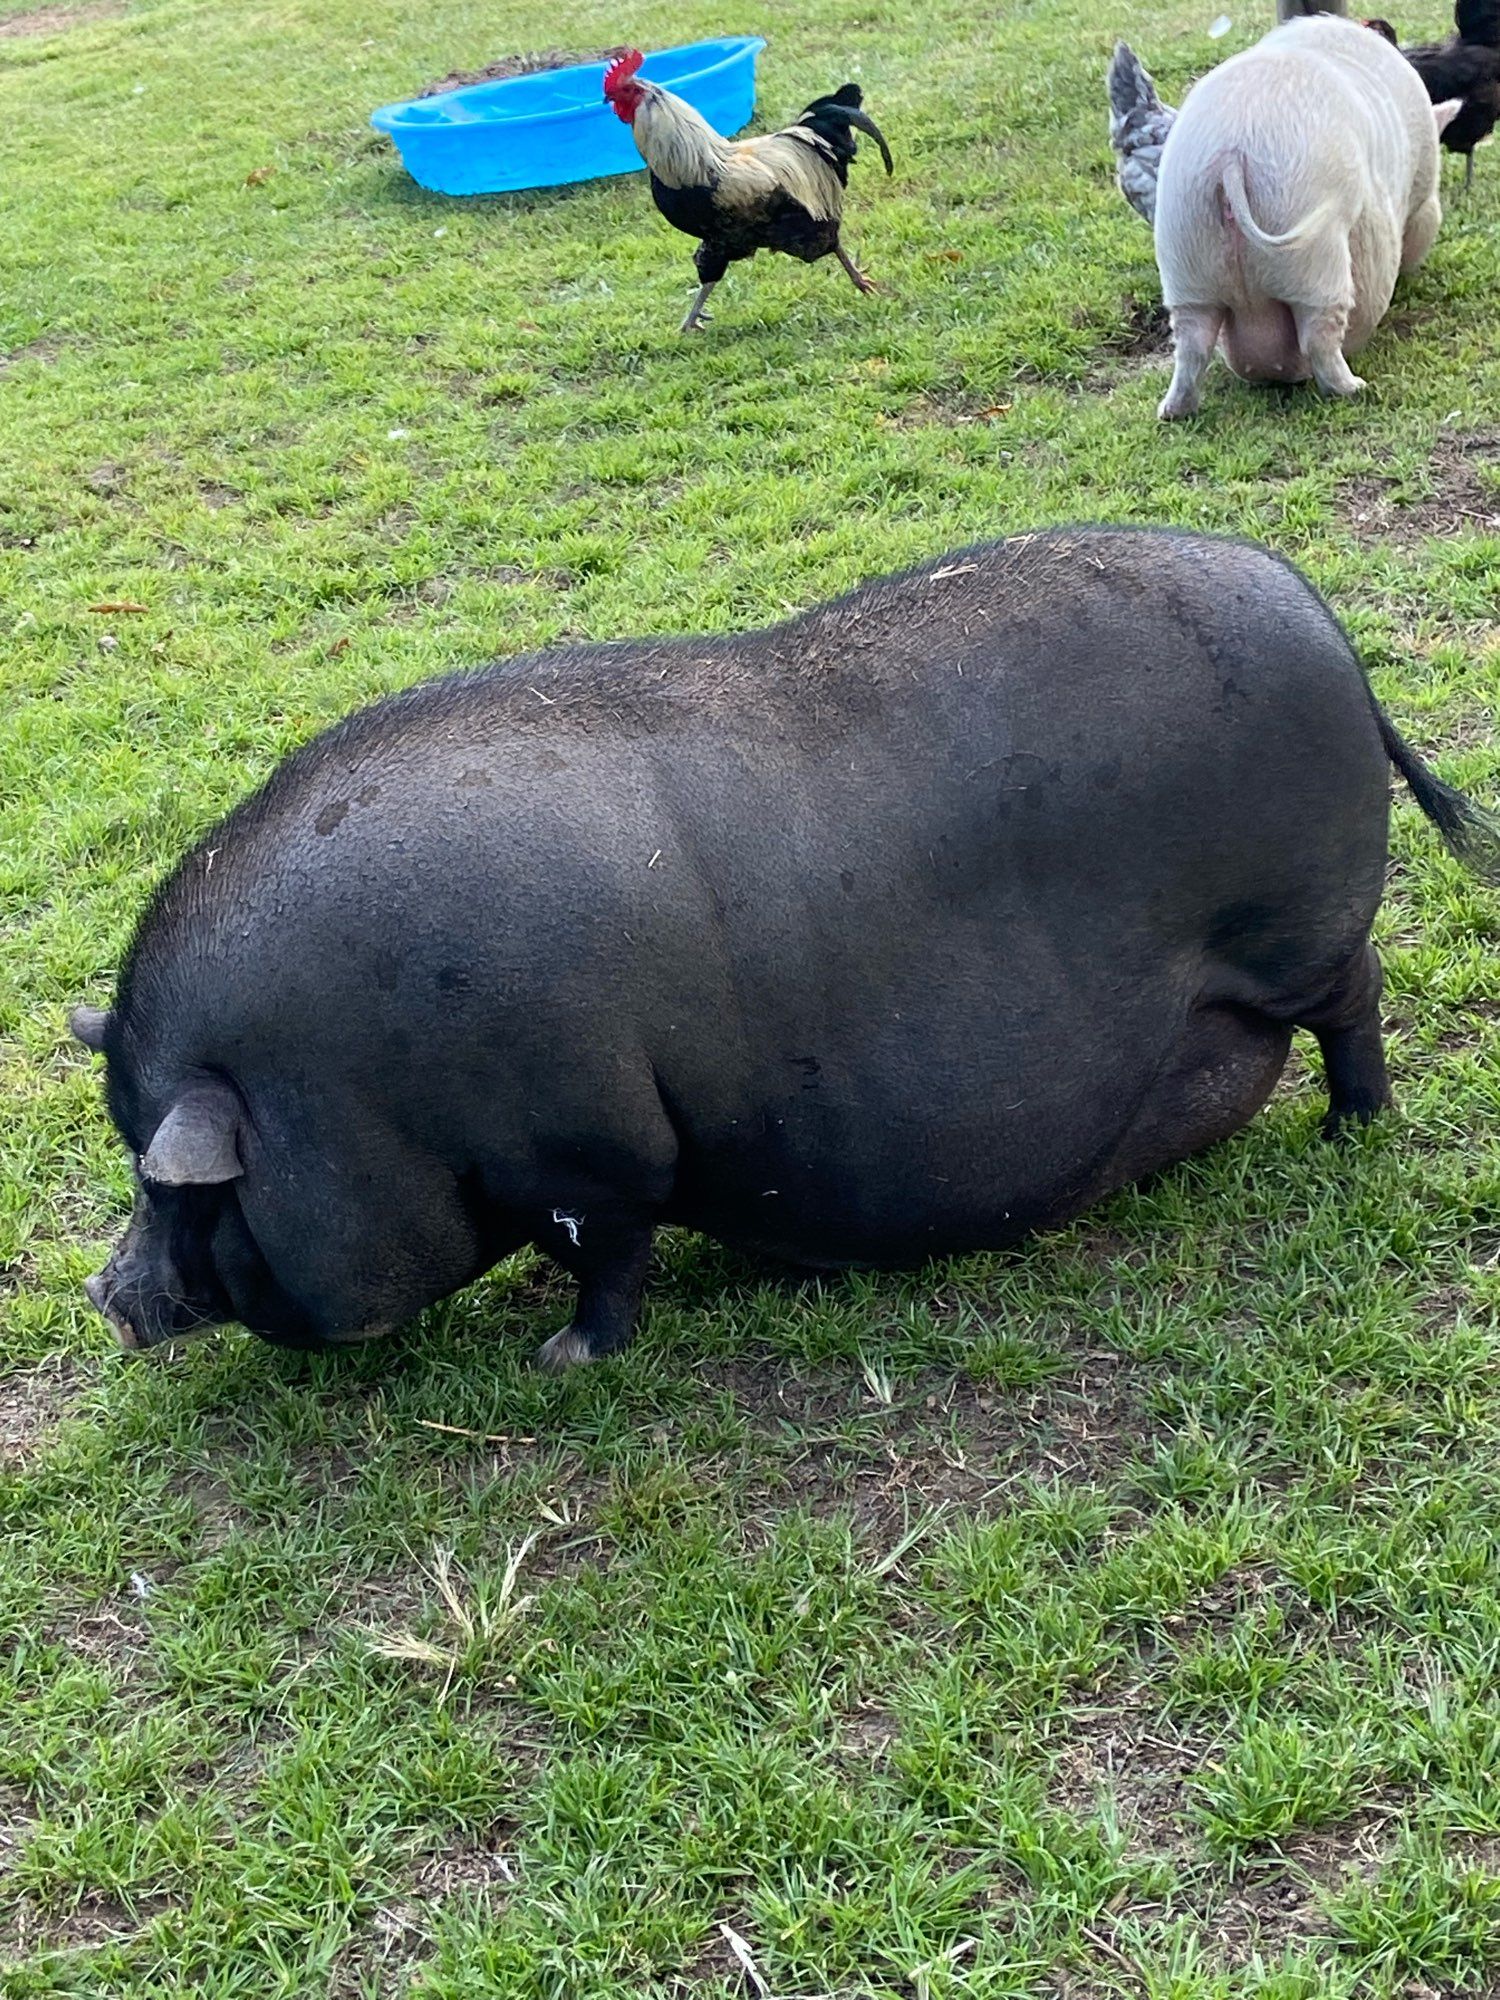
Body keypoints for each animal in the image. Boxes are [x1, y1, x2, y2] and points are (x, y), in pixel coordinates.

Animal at [73, 528, 1500, 1376]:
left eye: (169, 1184)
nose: (105, 1293)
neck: (359, 1089)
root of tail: (1317, 609)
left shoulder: (594, 1154)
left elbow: (608, 1258)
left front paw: (564, 1360)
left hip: (1302, 925)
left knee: (1354, 1003)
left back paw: (1354, 1131)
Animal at [1160, 9, 1464, 418]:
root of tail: (1232, 153)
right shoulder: (1423, 195)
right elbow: (1422, 224)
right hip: (1315, 256)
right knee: (1319, 334)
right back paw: (1355, 388)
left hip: (1184, 250)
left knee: (1192, 342)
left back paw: (1172, 412)